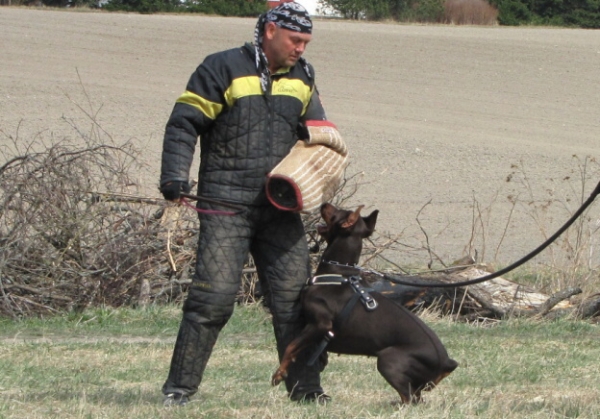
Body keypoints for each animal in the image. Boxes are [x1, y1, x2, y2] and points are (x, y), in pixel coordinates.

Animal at [274, 203, 460, 404]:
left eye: (337, 212)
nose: (324, 204)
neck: (338, 273)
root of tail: (446, 362)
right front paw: (321, 359)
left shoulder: (320, 324)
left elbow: (291, 346)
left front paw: (279, 373)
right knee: (416, 397)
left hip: (388, 361)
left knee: (409, 398)